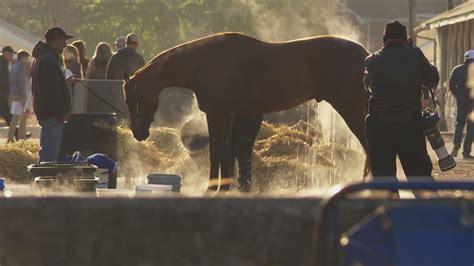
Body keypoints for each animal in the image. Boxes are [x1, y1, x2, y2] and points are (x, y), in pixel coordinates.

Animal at [122, 32, 370, 192]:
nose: (138, 133)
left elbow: (217, 153)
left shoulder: (216, 114)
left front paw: (211, 189)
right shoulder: (231, 115)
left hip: (352, 111)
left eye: (132, 98)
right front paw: (224, 187)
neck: (202, 62)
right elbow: (228, 154)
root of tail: (365, 55)